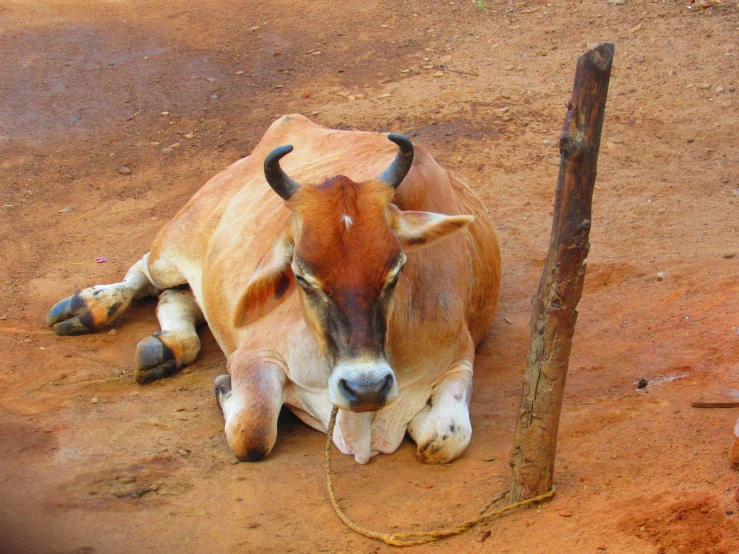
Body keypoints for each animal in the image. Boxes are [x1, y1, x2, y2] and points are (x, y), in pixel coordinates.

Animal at [44, 114, 502, 464]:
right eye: (301, 276)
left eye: (397, 269)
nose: (366, 388)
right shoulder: (255, 355)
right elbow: (251, 432)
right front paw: (224, 389)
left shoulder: (459, 359)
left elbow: (444, 437)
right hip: (174, 240)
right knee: (145, 272)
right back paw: (90, 307)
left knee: (178, 297)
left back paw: (166, 346)